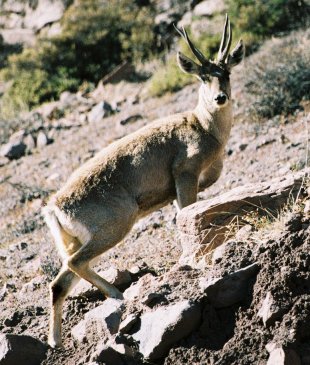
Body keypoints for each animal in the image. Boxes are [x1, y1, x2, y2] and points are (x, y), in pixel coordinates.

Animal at [43, 14, 245, 346]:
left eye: (226, 72)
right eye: (203, 77)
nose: (220, 97)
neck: (204, 128)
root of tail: (54, 208)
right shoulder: (185, 174)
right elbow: (186, 217)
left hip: (73, 242)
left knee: (59, 282)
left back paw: (55, 341)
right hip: (115, 224)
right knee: (75, 265)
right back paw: (117, 295)